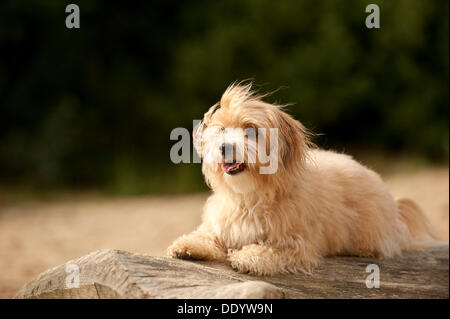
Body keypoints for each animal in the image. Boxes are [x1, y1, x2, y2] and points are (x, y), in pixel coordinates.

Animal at [167, 82, 438, 276]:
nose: (224, 147)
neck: (252, 195)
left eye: (251, 131)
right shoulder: (223, 223)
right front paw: (188, 246)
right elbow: (207, 235)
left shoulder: (298, 243)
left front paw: (247, 256)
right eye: (222, 130)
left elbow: (273, 250)